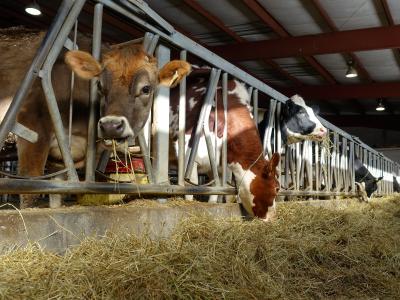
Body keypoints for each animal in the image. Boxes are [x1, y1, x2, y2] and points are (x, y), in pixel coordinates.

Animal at [0, 28, 190, 207]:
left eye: (146, 88)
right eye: (99, 85)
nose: (111, 125)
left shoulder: (60, 158)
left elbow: (56, 195)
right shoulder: (34, 130)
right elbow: (29, 192)